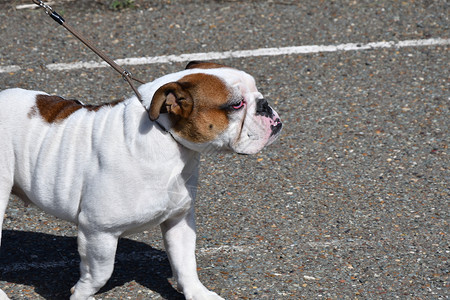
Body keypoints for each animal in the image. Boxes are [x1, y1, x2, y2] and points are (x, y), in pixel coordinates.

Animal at [0, 61, 282, 300]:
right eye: (236, 105)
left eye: (256, 92)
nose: (265, 104)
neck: (168, 138)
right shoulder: (98, 231)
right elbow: (99, 273)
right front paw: (81, 294)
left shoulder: (179, 221)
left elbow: (186, 263)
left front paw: (198, 293)